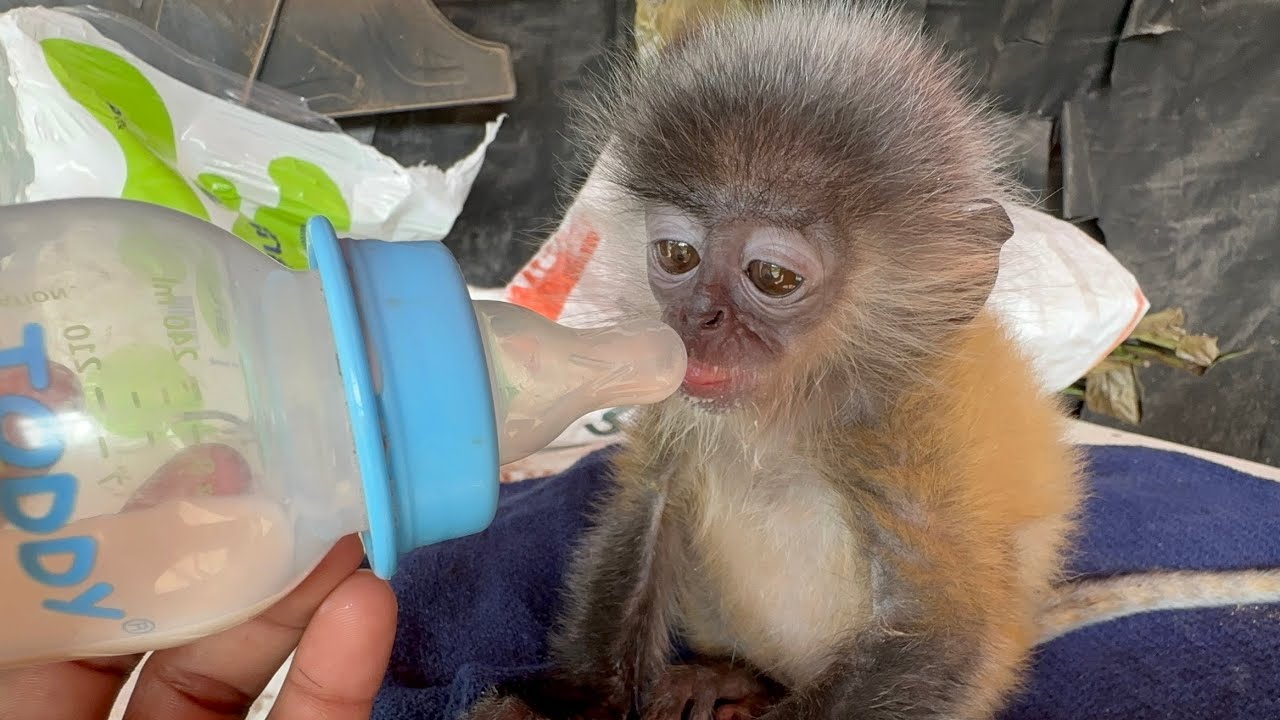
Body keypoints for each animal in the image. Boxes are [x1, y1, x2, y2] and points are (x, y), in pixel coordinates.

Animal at [463, 2, 1086, 719]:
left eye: (772, 276)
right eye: (677, 256)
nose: (697, 321)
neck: (789, 410)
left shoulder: (916, 430)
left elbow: (936, 631)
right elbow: (648, 507)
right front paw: (577, 703)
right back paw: (727, 677)